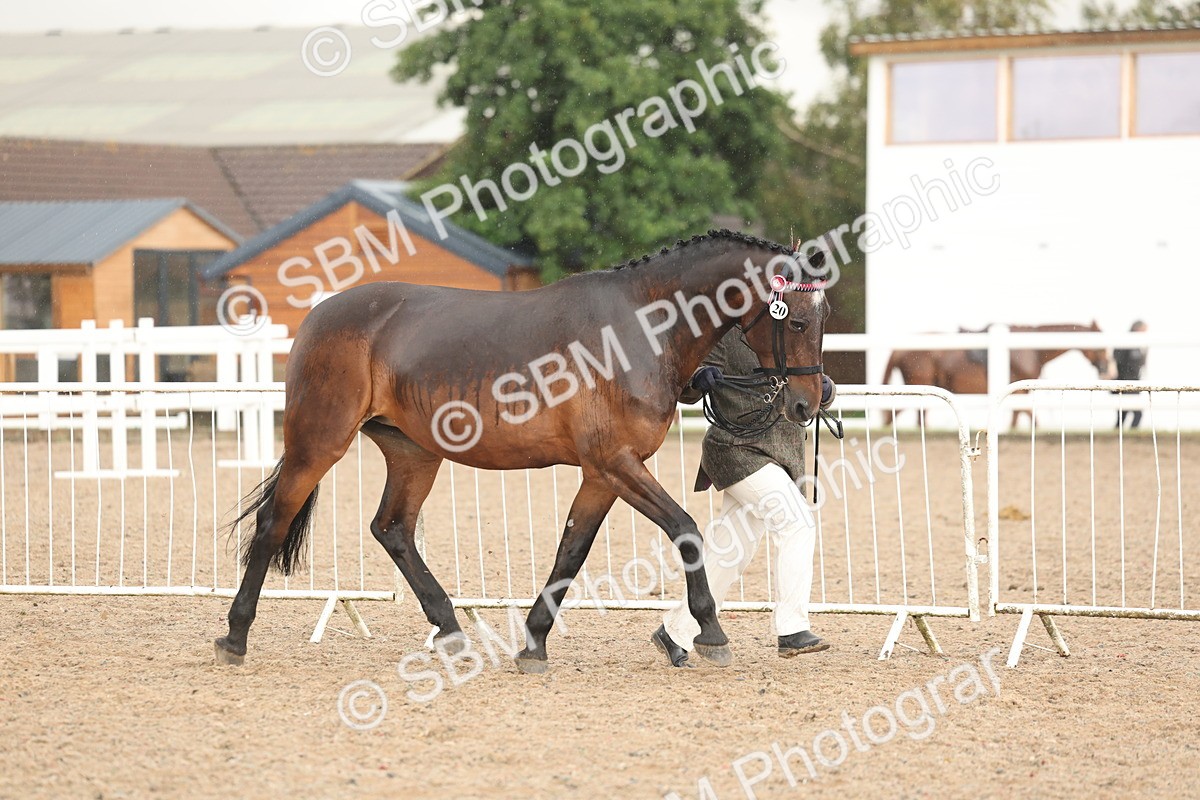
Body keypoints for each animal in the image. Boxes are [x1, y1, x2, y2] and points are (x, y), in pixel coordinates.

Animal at [213, 229, 833, 674]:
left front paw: (534, 642)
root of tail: (322, 315)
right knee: (273, 523)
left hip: (414, 453)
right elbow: (685, 530)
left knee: (392, 529)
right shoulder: (616, 463)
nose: (809, 401)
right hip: (319, 442)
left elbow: (570, 553)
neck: (641, 328)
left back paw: (451, 631)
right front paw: (712, 631)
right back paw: (235, 635)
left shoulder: (602, 474)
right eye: (798, 321)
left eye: (823, 319)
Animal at [882, 322, 1113, 426]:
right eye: (1101, 344)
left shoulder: (1020, 392)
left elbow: (1019, 417)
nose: (1108, 371)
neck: (1031, 350)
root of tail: (899, 349)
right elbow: (1028, 417)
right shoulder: (1018, 391)